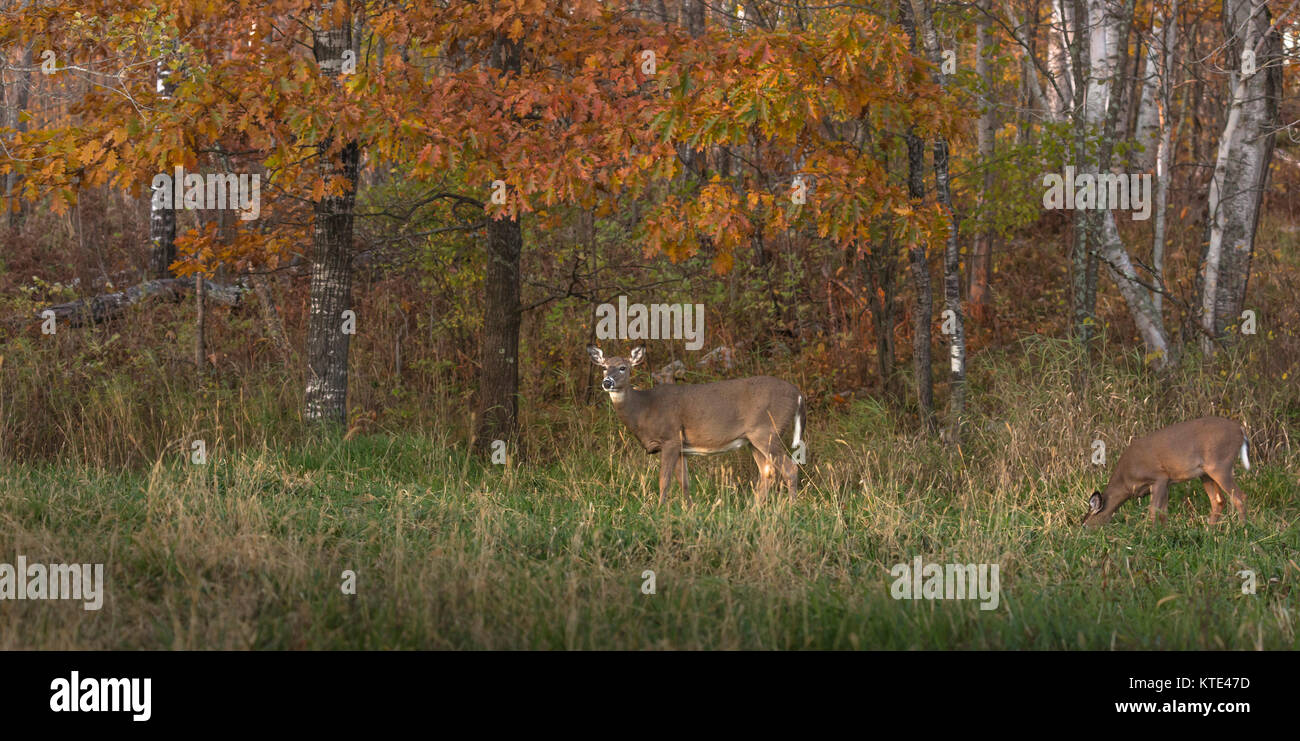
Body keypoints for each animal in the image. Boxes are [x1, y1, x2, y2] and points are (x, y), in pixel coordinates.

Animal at [587, 345, 800, 504]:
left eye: (623, 367)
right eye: (604, 367)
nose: (607, 382)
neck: (644, 409)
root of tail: (798, 394)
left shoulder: (671, 438)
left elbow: (664, 480)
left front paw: (659, 509)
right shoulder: (682, 448)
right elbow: (684, 482)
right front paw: (688, 510)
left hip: (767, 432)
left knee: (790, 469)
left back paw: (790, 508)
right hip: (753, 440)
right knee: (768, 472)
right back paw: (755, 510)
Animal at [1076, 416, 1248, 525]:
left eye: (1085, 524)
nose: (1084, 536)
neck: (1125, 482)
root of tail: (1240, 430)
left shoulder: (1159, 477)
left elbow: (1153, 511)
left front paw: (1152, 536)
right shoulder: (1167, 483)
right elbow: (1163, 512)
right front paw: (1165, 533)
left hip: (1220, 465)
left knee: (1240, 496)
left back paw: (1242, 530)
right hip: (1205, 473)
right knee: (1219, 501)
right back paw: (1210, 532)